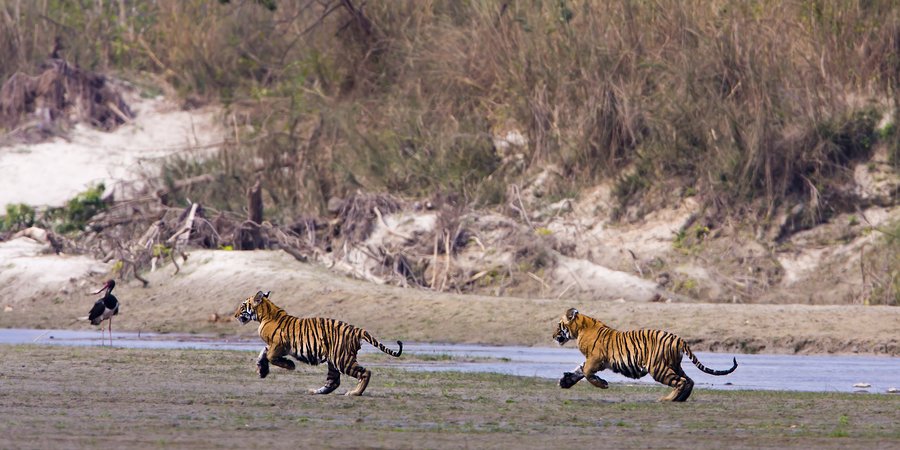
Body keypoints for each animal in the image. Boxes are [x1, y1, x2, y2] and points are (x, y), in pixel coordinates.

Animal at [234, 290, 403, 396]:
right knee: (333, 382)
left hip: (342, 359)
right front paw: (262, 370)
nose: (235, 315)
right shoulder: (273, 345)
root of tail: (357, 329)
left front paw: (289, 365)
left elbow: (270, 356)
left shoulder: (279, 344)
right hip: (334, 361)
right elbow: (263, 353)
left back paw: (355, 393)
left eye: (242, 306)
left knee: (365, 372)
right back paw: (315, 391)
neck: (265, 315)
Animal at [553, 308, 737, 402]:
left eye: (559, 325)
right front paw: (565, 381)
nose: (553, 336)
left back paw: (667, 399)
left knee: (682, 381)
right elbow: (579, 370)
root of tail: (678, 338)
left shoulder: (596, 359)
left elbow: (586, 372)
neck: (580, 328)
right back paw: (680, 399)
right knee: (689, 380)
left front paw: (602, 384)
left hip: (658, 368)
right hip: (673, 365)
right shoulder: (592, 360)